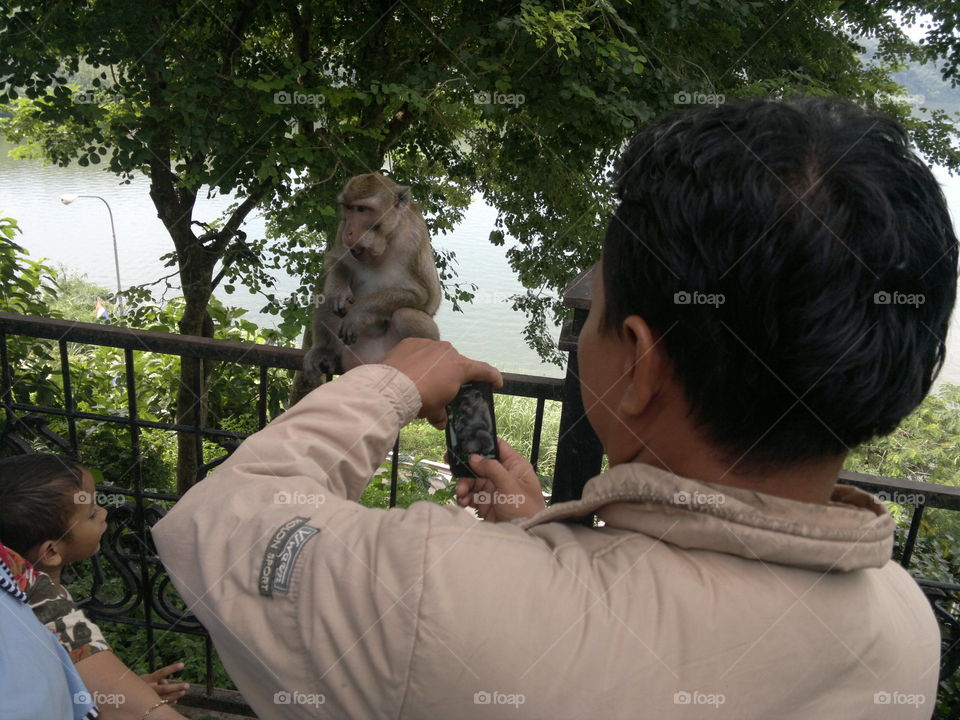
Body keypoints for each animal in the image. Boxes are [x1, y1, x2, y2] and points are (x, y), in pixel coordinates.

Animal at [303, 172, 442, 383]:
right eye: (348, 208)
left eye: (362, 209)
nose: (349, 232)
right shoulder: (340, 227)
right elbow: (335, 260)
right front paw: (339, 292)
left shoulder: (415, 235)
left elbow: (425, 296)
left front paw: (360, 312)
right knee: (323, 297)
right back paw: (325, 351)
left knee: (405, 315)